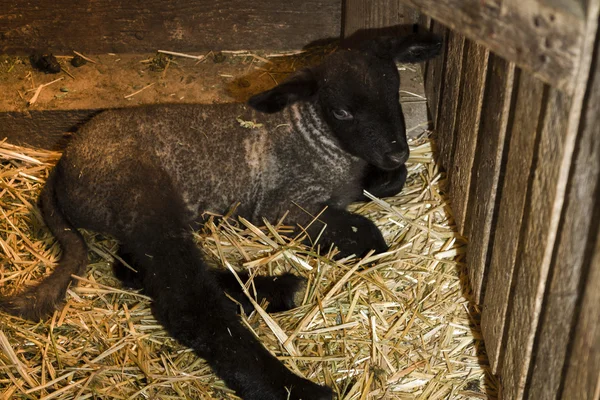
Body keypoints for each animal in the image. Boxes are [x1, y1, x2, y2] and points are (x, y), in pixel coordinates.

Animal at [0, 33, 440, 400]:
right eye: (342, 111)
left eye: (395, 90)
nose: (396, 151)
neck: (319, 140)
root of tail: (61, 168)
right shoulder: (286, 206)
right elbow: (366, 235)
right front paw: (359, 241)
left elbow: (389, 183)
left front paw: (385, 177)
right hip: (142, 198)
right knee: (186, 304)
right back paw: (292, 384)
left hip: (142, 217)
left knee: (131, 267)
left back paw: (273, 290)